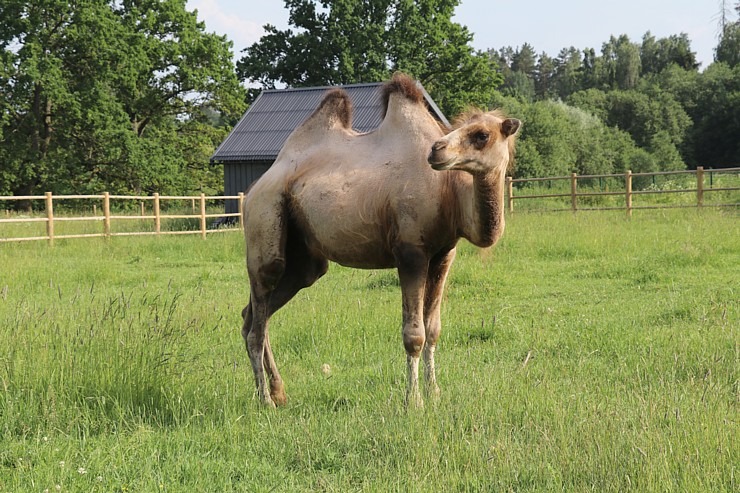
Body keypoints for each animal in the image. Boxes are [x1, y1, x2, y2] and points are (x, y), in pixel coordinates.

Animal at [241, 71, 520, 406]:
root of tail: (257, 186)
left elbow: (433, 328)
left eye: (481, 135)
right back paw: (266, 400)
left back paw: (279, 392)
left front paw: (435, 393)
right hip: (265, 224)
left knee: (254, 316)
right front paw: (413, 401)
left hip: (303, 262)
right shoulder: (411, 252)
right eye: (462, 129)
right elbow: (414, 335)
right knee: (257, 320)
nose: (436, 150)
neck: (448, 192)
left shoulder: (443, 254)